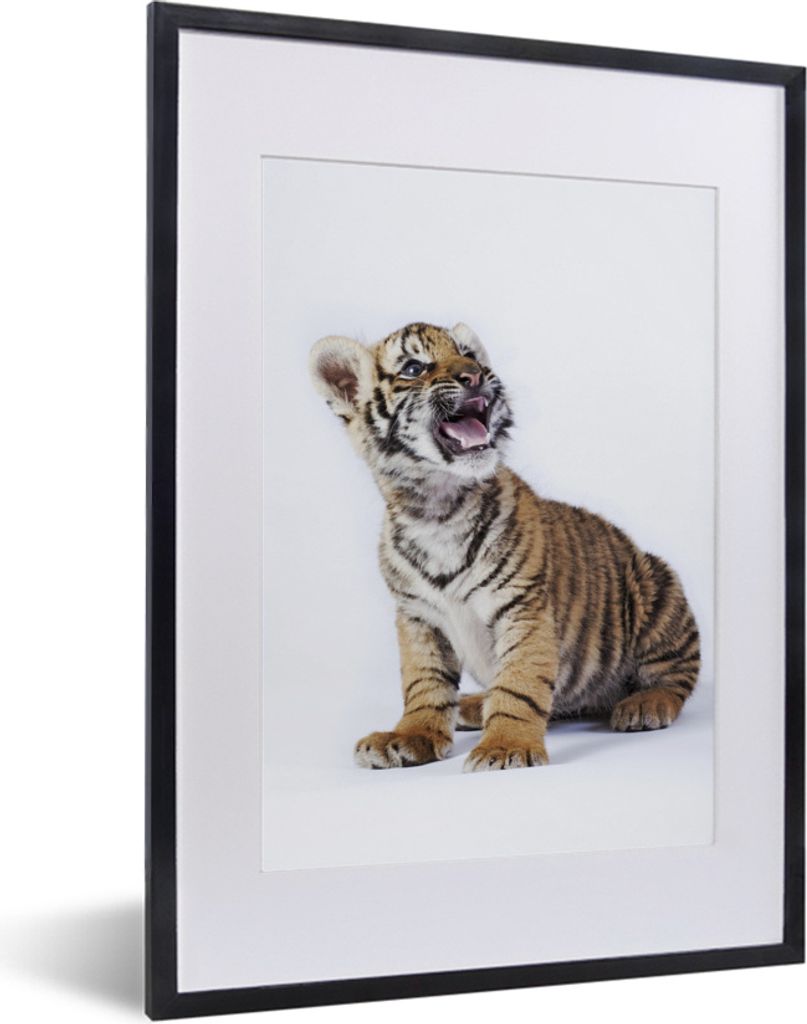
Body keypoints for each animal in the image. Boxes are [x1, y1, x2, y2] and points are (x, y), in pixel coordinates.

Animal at [309, 321, 700, 771]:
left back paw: (644, 706)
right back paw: (472, 706)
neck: (436, 508)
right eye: (413, 368)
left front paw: (506, 746)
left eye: (468, 356)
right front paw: (410, 736)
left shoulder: (523, 606)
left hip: (656, 586)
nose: (475, 375)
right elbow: (423, 682)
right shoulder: (417, 616)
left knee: (675, 678)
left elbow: (519, 683)